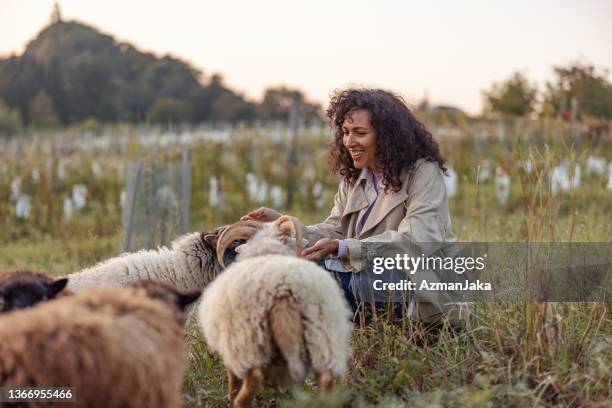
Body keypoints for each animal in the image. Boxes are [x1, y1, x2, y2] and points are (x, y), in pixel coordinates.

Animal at [200, 215, 354, 406]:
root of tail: (282, 289)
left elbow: (233, 385)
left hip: (248, 344)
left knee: (252, 382)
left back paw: (239, 403)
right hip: (322, 340)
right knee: (326, 382)